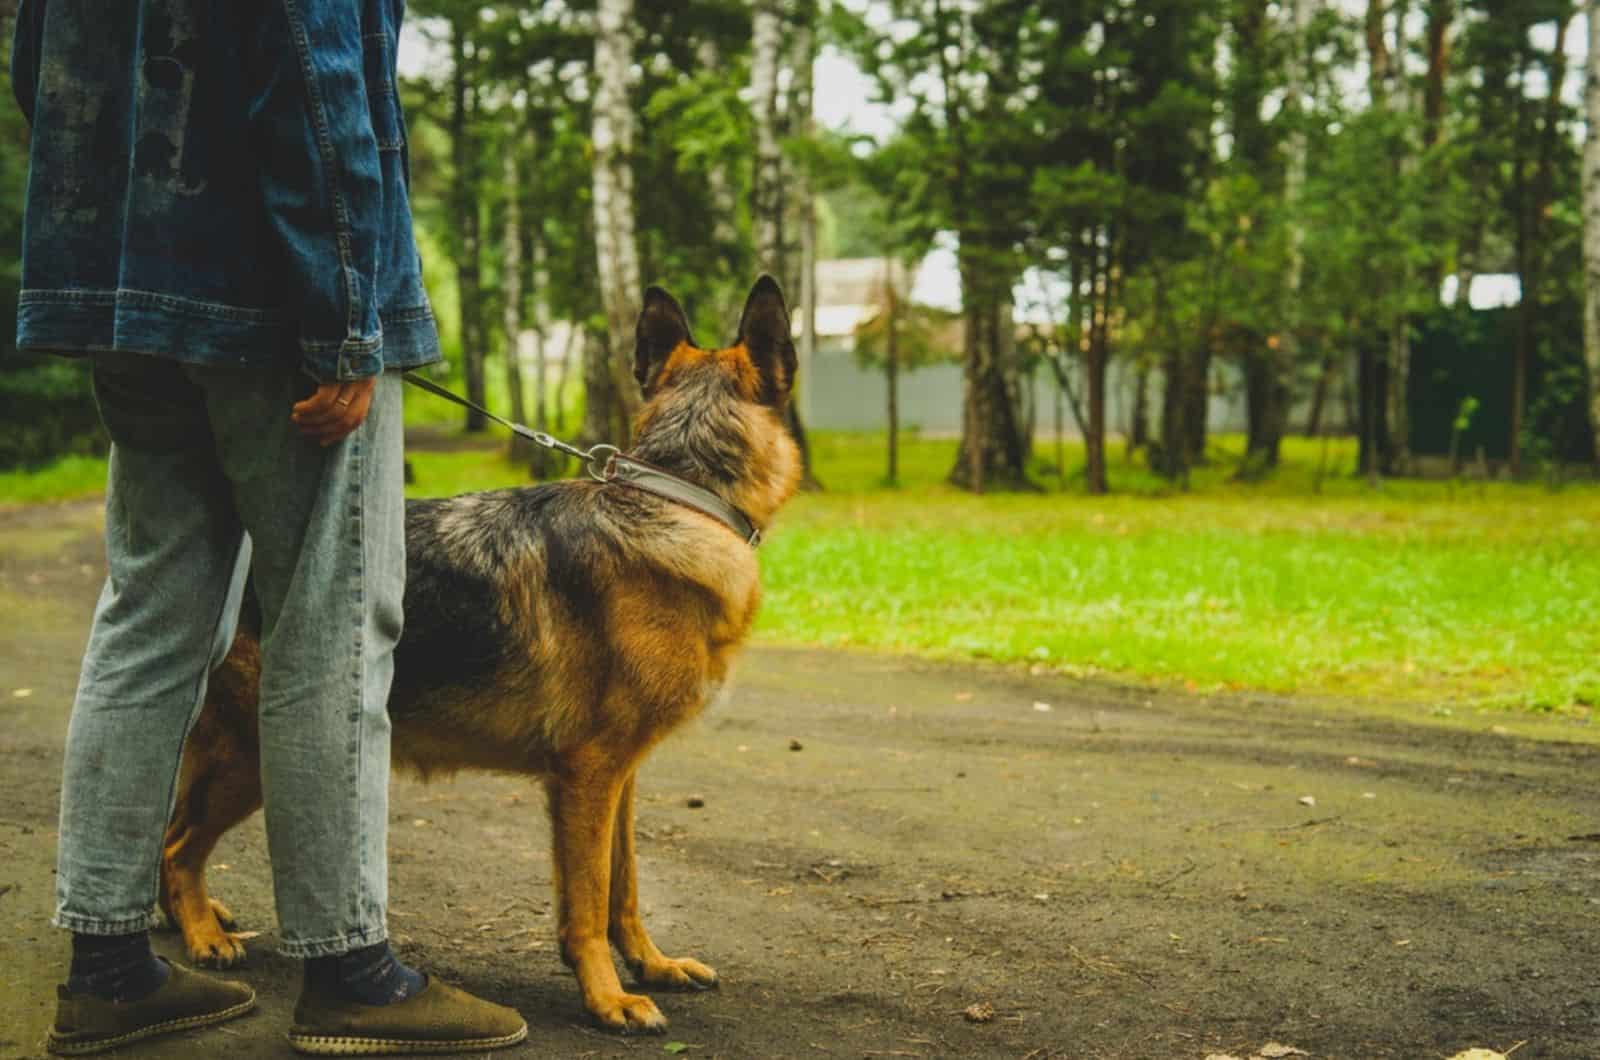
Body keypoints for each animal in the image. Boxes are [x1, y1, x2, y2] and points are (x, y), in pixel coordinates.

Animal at [159, 280, 800, 1037]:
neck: (680, 497)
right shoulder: (589, 776)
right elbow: (589, 903)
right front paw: (606, 996)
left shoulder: (619, 779)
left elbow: (625, 891)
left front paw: (650, 964)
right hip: (253, 758)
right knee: (176, 847)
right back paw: (203, 936)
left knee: (166, 834)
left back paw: (189, 918)